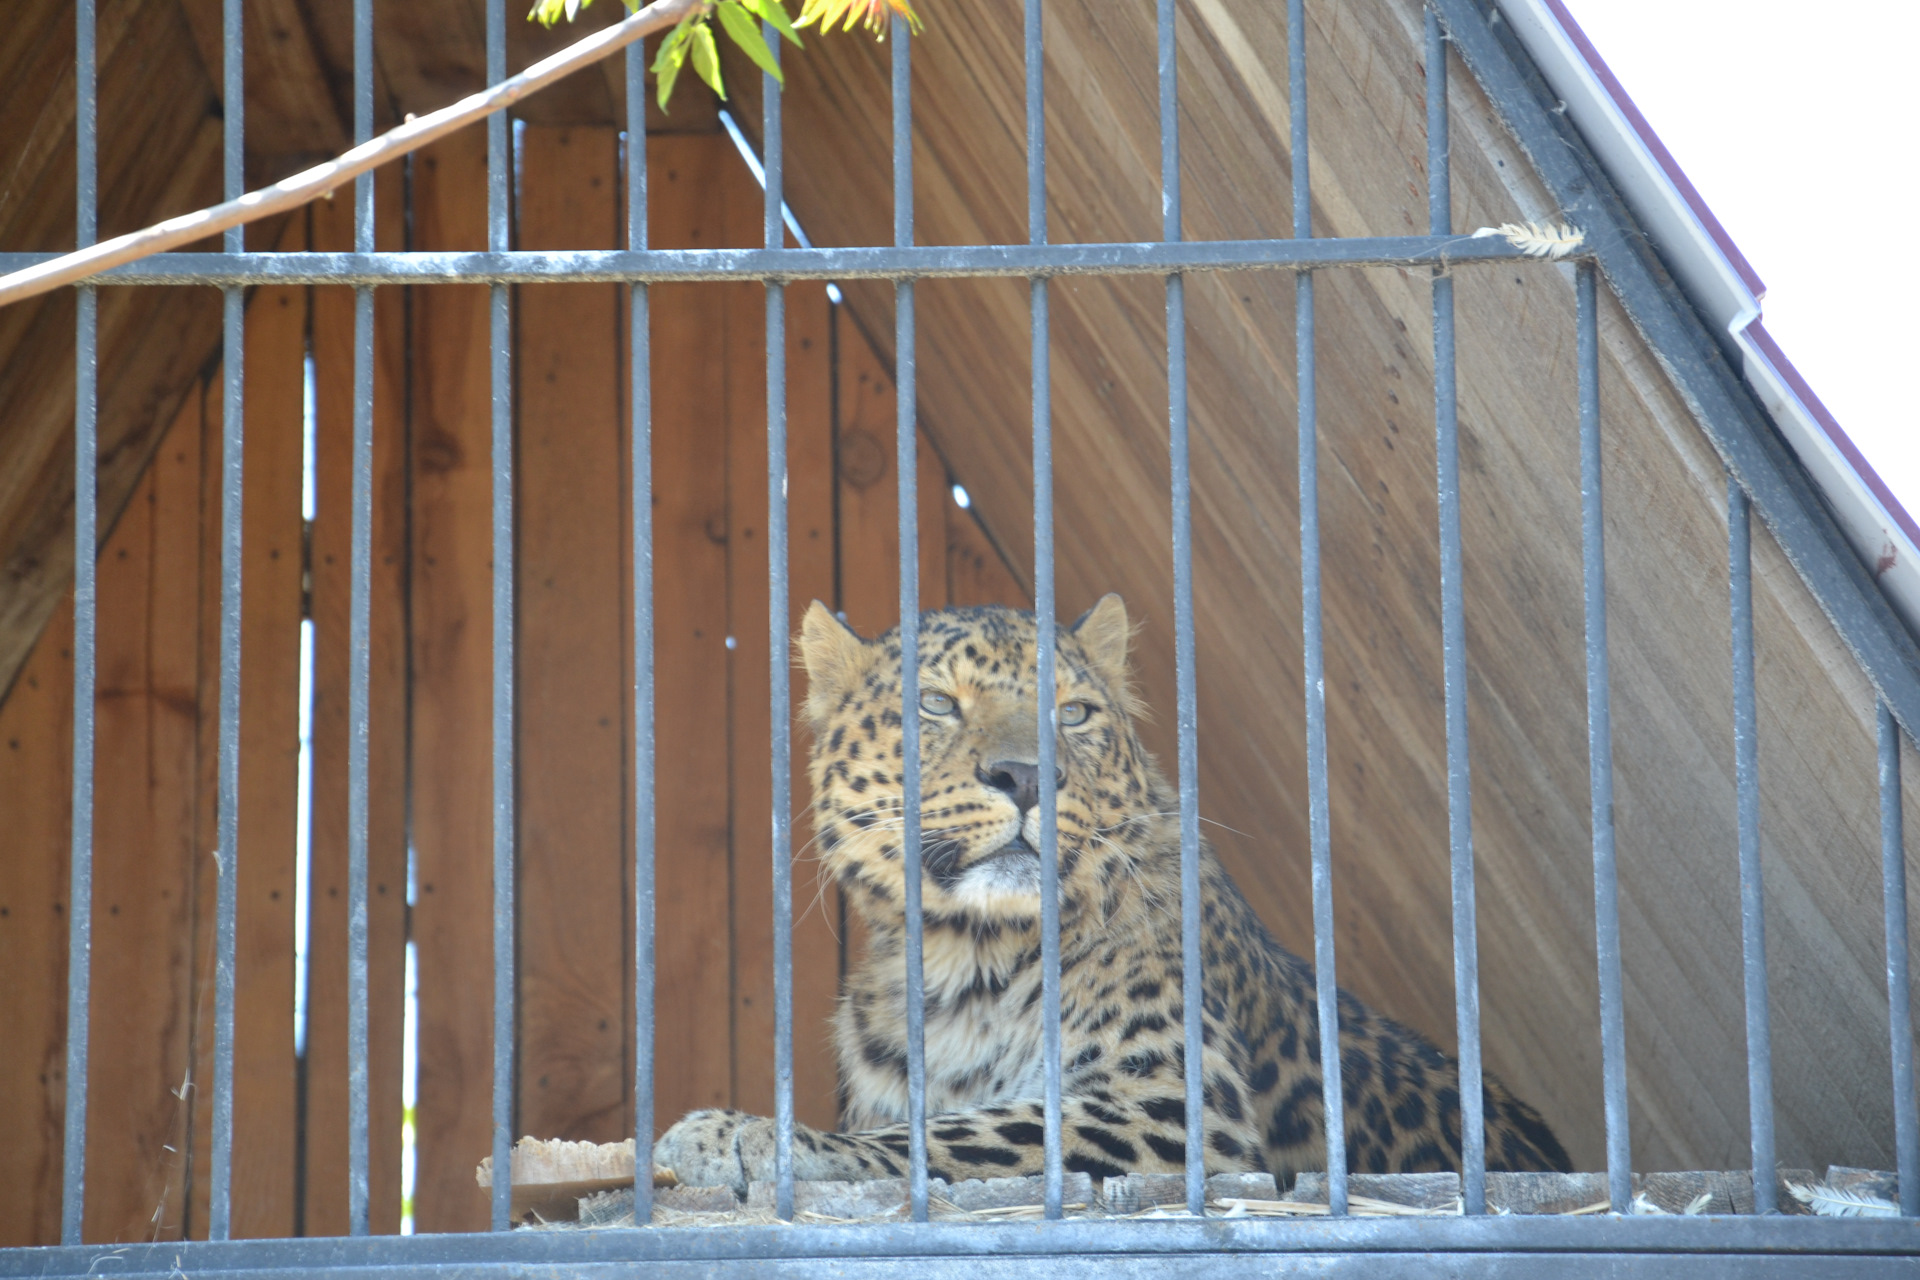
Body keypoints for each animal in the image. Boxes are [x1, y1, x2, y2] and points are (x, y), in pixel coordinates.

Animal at [652, 594, 1566, 1197]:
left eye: (1076, 713)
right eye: (936, 703)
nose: (1026, 776)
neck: (961, 961)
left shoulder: (1170, 1104)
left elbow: (952, 1130)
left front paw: (742, 1134)